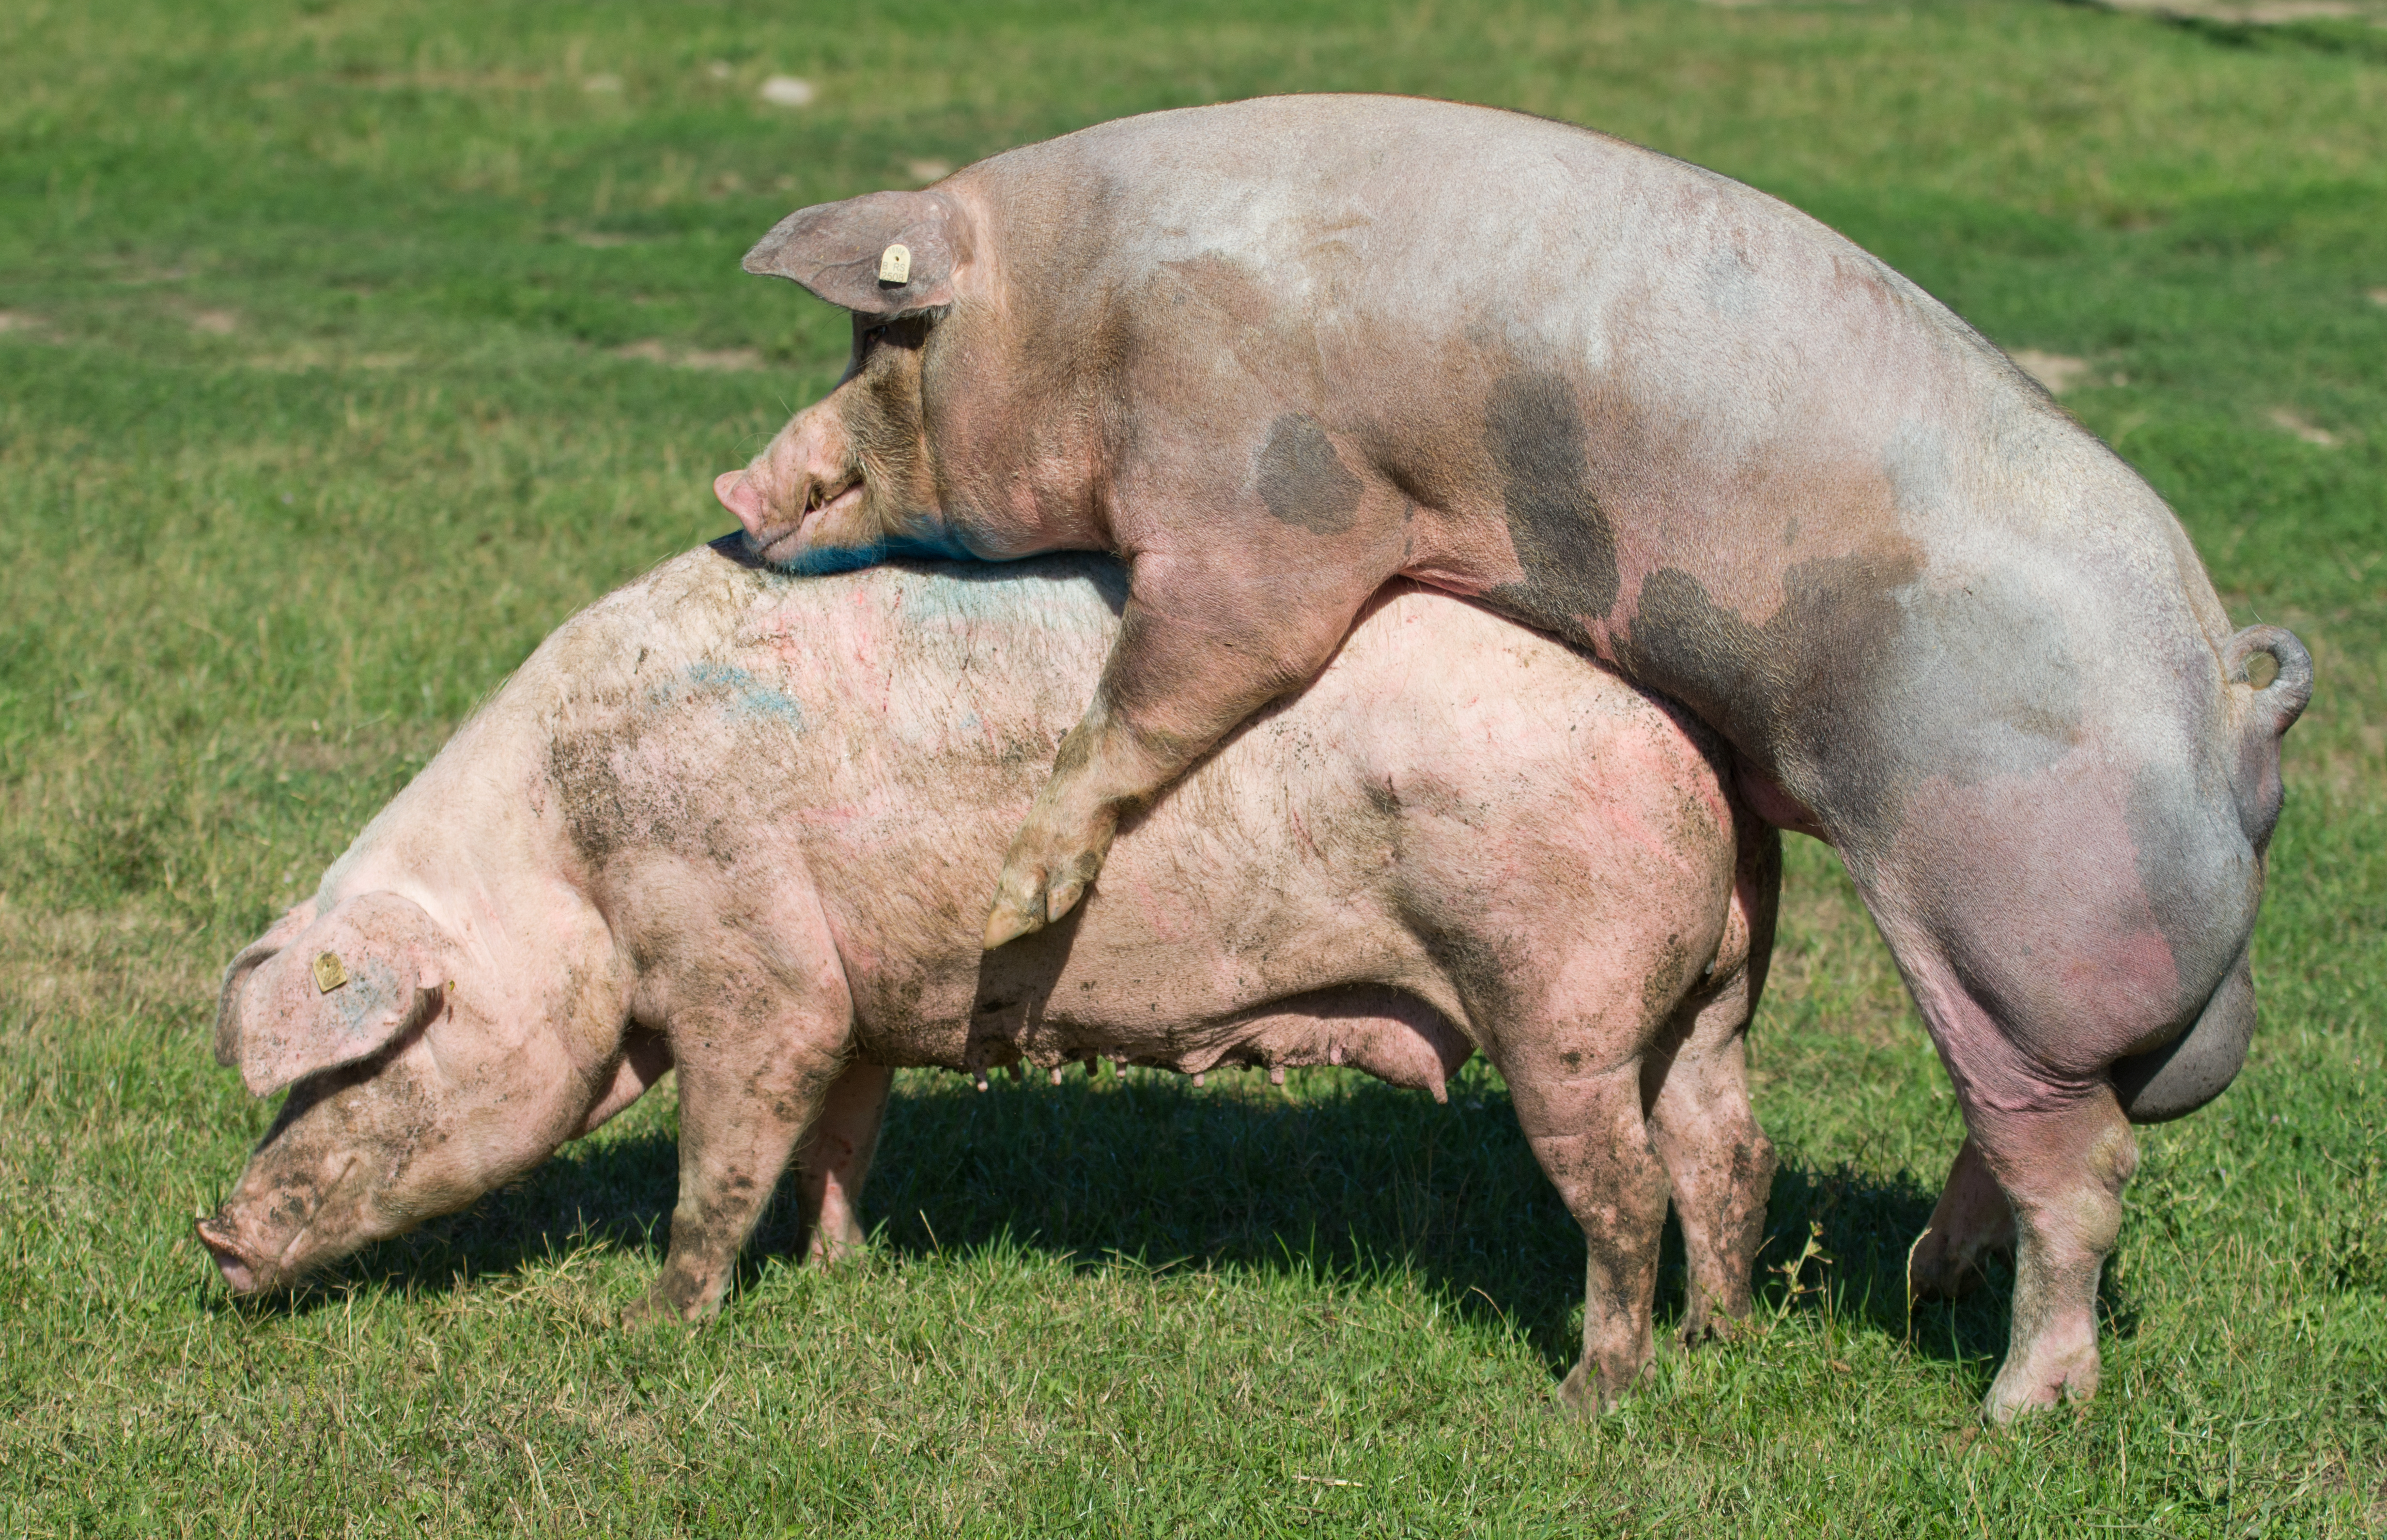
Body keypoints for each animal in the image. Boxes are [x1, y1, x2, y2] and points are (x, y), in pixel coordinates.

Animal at [200, 544, 1776, 1413]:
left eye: (373, 1051)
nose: (213, 1233)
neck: (569, 852)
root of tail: (1696, 751)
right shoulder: (857, 997)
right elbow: (839, 1136)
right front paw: (835, 1273)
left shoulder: (756, 964)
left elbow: (725, 1154)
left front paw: (647, 1323)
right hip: (1702, 1008)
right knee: (1728, 1153)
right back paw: (1721, 1340)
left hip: (1561, 1003)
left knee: (1627, 1189)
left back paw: (1591, 1393)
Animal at [711, 93, 2310, 1413]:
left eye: (884, 342)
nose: (732, 487)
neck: (1084, 309)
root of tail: (2234, 710)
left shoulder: (1266, 507)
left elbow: (1177, 679)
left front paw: (1018, 898)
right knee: (2037, 1128)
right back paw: (1909, 1288)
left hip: (2015, 921)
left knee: (2078, 1161)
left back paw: (2015, 1405)